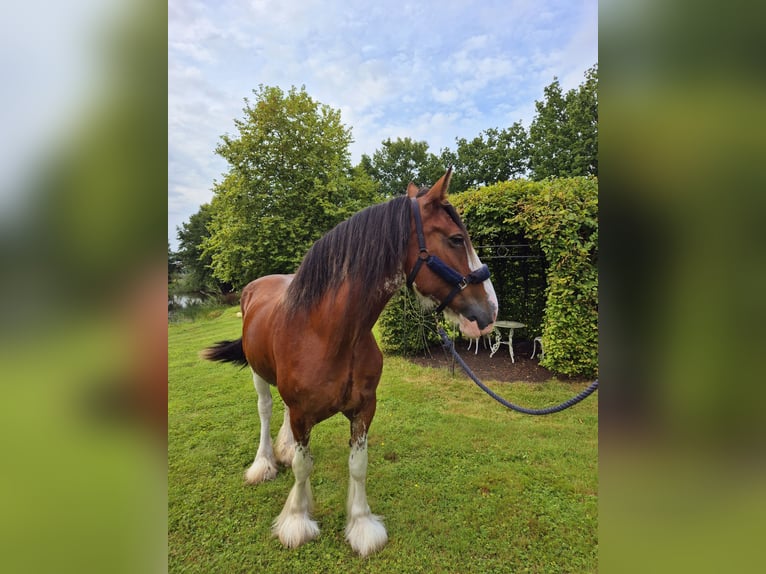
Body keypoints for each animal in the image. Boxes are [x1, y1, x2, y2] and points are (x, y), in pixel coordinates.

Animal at [204, 168, 500, 560]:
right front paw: (297, 520)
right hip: (258, 373)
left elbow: (358, 466)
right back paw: (264, 463)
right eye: (455, 239)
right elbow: (302, 467)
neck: (328, 333)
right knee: (266, 410)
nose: (490, 311)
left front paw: (361, 525)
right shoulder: (302, 414)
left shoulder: (364, 408)